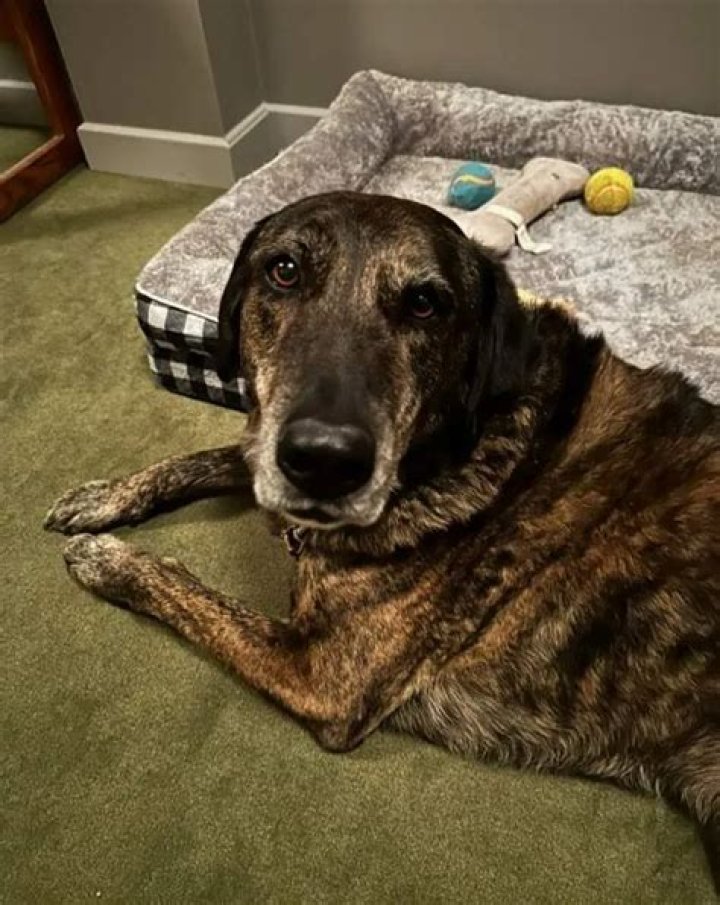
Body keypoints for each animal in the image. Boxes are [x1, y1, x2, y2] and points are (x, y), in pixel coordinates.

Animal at [46, 191, 719, 880]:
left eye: (425, 303)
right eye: (284, 271)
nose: (325, 461)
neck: (462, 449)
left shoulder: (321, 673)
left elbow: (187, 589)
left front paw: (108, 558)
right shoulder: (270, 460)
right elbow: (218, 455)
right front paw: (105, 497)